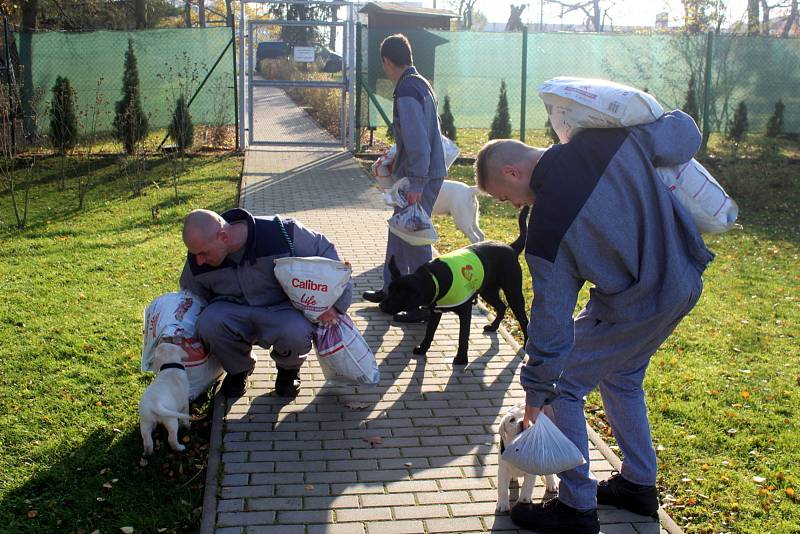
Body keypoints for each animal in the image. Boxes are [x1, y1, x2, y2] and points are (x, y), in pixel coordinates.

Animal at [382, 207, 532, 366]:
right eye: (390, 290)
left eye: (399, 294)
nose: (381, 305)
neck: (433, 279)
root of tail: (511, 247)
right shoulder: (436, 311)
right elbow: (429, 333)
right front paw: (423, 349)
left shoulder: (465, 312)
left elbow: (463, 337)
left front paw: (461, 359)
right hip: (488, 292)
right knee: (502, 306)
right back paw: (493, 326)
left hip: (513, 293)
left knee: (524, 320)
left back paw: (525, 346)